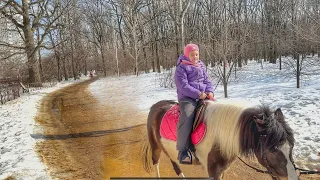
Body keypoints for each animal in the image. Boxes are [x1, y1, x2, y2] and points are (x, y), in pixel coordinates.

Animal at [141, 99, 298, 179]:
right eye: (272, 150)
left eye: (291, 146)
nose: (292, 177)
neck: (220, 136)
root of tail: (155, 106)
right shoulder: (213, 171)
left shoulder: (222, 170)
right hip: (155, 146)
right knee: (156, 163)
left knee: (175, 165)